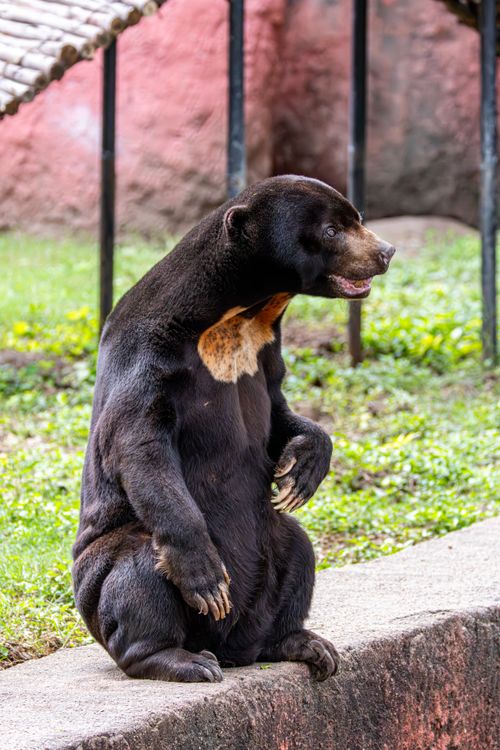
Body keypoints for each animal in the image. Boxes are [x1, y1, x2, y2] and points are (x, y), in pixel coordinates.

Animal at [72, 175, 395, 683]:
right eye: (331, 230)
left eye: (356, 218)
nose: (386, 251)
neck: (238, 316)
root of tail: (228, 645)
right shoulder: (148, 355)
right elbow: (138, 445)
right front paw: (206, 579)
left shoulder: (264, 351)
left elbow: (278, 409)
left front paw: (301, 472)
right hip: (99, 578)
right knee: (140, 572)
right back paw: (181, 659)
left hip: (270, 549)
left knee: (298, 548)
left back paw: (300, 643)